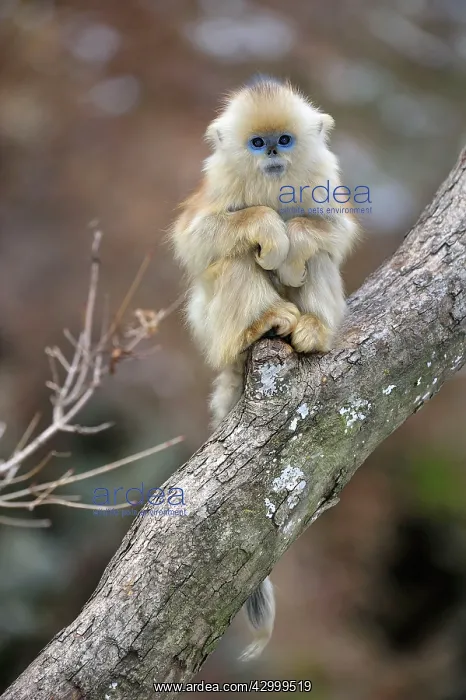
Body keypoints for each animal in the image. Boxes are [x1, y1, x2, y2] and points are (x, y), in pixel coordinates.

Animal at [171, 76, 359, 660]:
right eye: (257, 144)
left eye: (284, 139)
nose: (273, 152)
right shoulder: (215, 189)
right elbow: (199, 238)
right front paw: (269, 229)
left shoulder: (328, 187)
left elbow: (330, 232)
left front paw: (292, 243)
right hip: (215, 332)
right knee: (231, 259)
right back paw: (263, 323)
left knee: (319, 257)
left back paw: (312, 330)